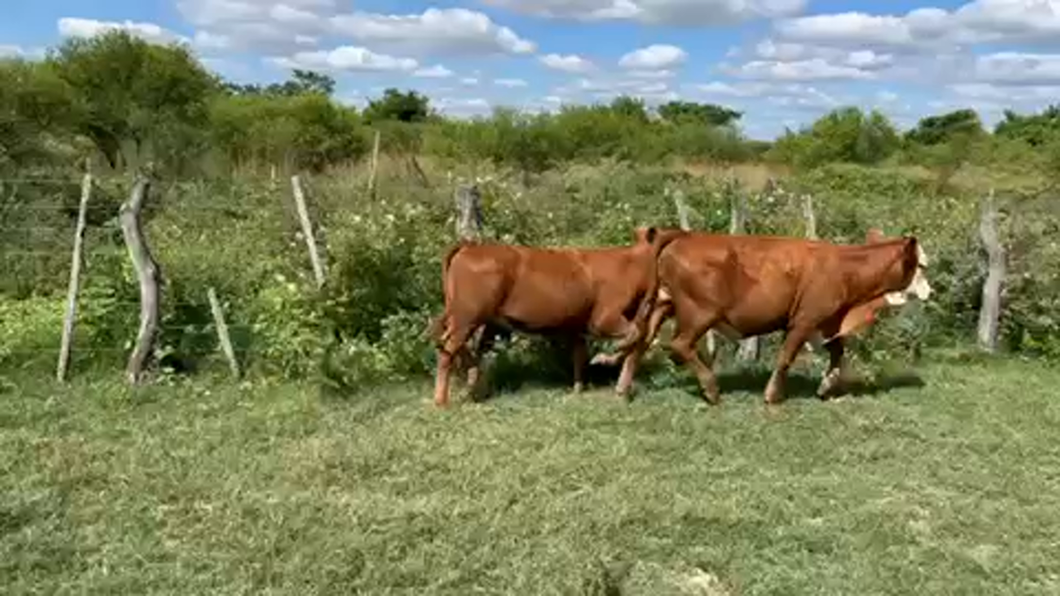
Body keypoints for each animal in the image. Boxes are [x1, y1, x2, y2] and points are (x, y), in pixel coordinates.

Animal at [428, 224, 678, 405]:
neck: (629, 264)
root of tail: (469, 246)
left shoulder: (578, 324)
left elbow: (580, 355)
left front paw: (578, 389)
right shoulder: (604, 318)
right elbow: (633, 335)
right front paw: (604, 360)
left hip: (476, 319)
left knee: (460, 348)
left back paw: (474, 385)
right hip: (467, 316)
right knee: (448, 349)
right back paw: (441, 401)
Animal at [593, 226, 932, 402]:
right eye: (922, 265)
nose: (931, 292)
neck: (844, 267)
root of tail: (685, 234)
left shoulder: (825, 323)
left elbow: (838, 354)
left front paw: (826, 386)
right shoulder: (804, 321)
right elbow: (786, 357)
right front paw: (772, 395)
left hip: (662, 306)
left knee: (639, 343)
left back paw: (623, 388)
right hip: (700, 313)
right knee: (678, 345)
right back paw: (711, 389)